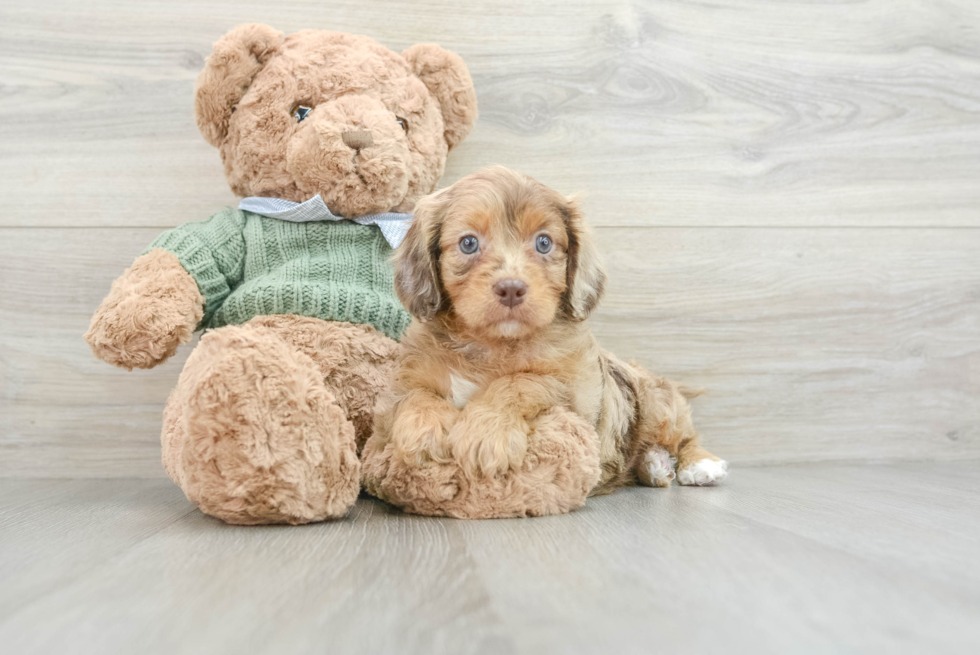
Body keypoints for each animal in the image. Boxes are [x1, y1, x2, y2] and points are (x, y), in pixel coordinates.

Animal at [372, 165, 724, 502]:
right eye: (468, 243)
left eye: (544, 242)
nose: (511, 288)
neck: (492, 344)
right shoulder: (400, 385)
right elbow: (414, 396)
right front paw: (423, 431)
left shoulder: (577, 393)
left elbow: (522, 381)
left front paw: (486, 432)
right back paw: (654, 465)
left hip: (655, 406)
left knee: (685, 435)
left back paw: (698, 464)